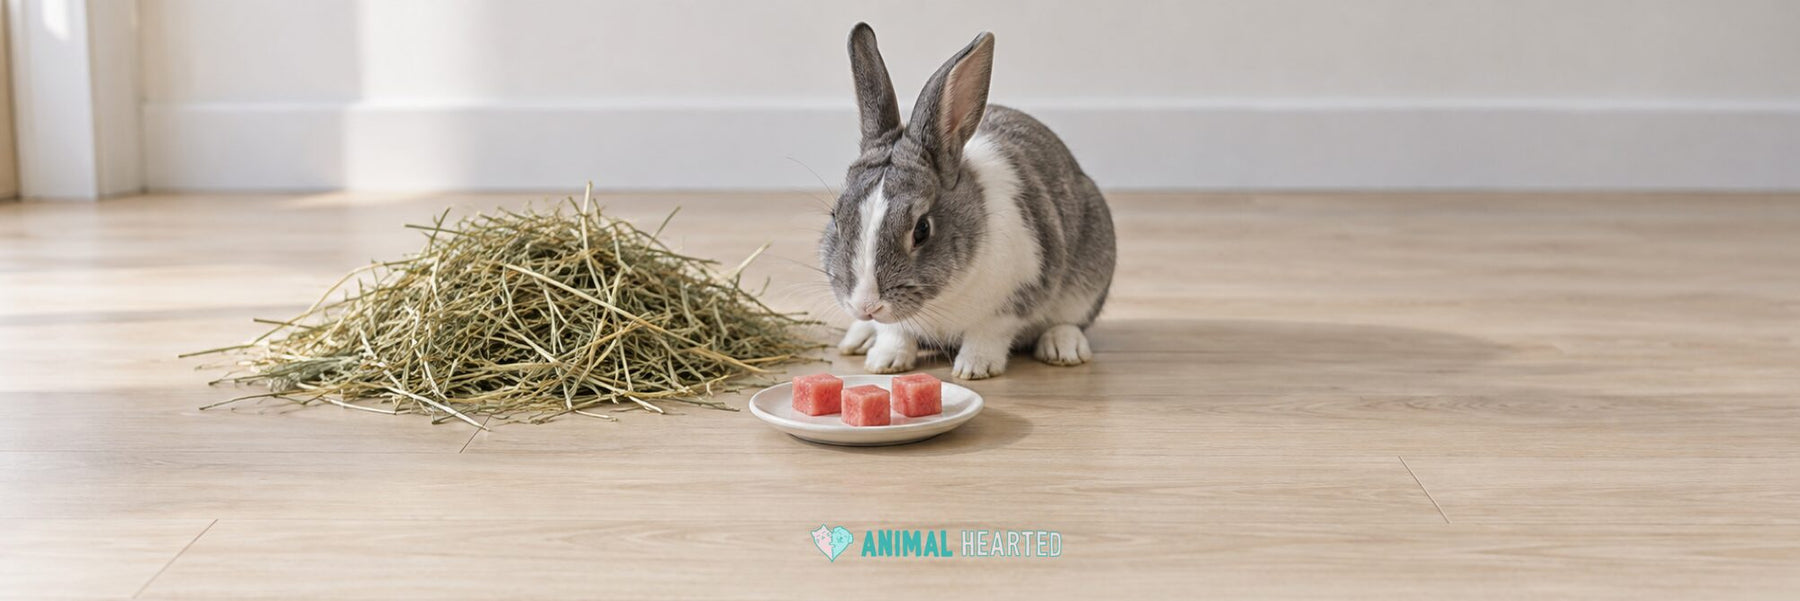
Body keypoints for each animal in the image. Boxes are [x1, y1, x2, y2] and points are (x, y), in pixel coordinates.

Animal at [819, 23, 1117, 380]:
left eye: (922, 229)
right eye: (836, 218)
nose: (867, 306)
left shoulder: (1016, 295)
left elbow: (988, 333)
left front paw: (975, 368)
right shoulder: (897, 325)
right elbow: (895, 332)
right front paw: (884, 362)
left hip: (1089, 275)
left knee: (1070, 321)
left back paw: (1063, 348)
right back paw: (859, 338)